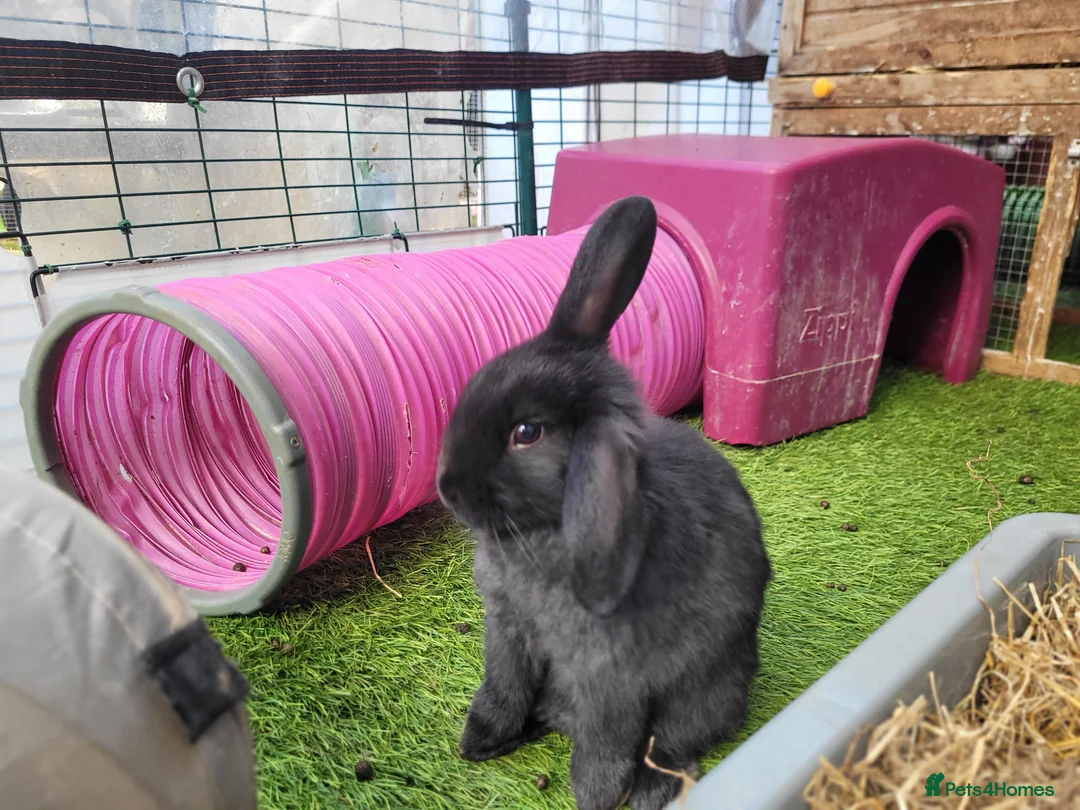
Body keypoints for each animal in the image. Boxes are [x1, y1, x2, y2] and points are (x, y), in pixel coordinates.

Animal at [436, 195, 771, 810]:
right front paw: (478, 741)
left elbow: (605, 742)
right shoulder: (508, 633)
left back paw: (647, 791)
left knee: (673, 745)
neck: (546, 529)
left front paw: (594, 796)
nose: (446, 487)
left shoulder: (610, 677)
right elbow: (502, 688)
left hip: (702, 690)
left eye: (527, 432)